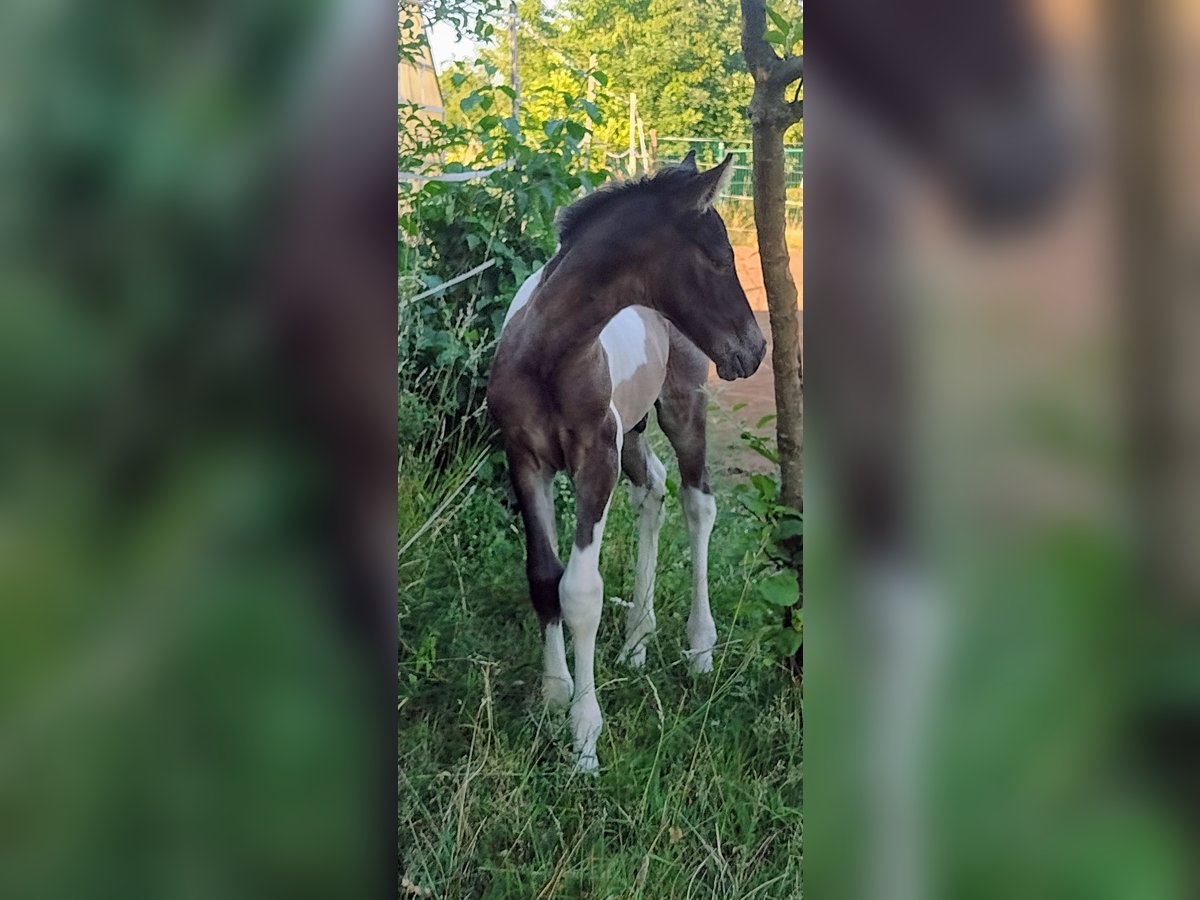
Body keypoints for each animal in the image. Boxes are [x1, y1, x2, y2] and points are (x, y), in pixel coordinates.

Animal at [486, 152, 767, 772]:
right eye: (720, 258)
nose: (756, 349)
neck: (548, 356)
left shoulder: (595, 462)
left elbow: (581, 591)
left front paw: (585, 736)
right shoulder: (526, 459)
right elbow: (544, 576)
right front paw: (555, 693)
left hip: (681, 407)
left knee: (696, 501)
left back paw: (699, 646)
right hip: (632, 431)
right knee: (652, 491)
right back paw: (638, 638)